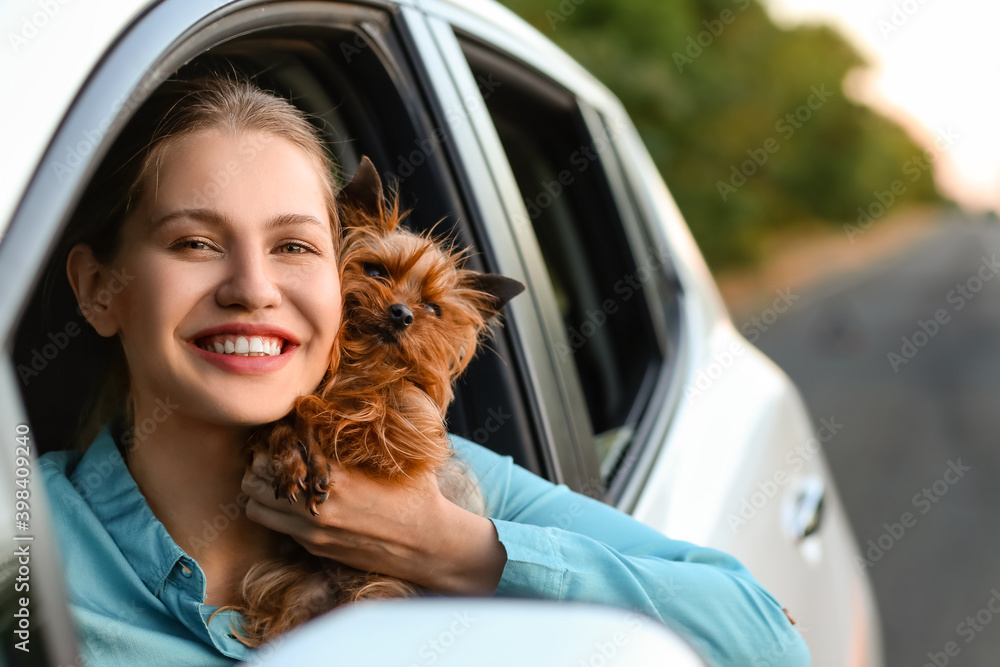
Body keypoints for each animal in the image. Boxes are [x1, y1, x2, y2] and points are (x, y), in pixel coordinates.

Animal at [225, 157, 524, 648]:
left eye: (434, 309)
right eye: (377, 271)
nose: (401, 314)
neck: (361, 361)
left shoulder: (405, 432)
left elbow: (370, 407)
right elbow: (288, 420)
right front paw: (294, 454)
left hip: (384, 590)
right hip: (296, 590)